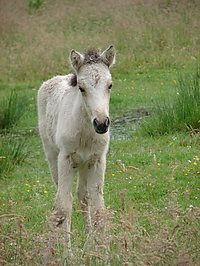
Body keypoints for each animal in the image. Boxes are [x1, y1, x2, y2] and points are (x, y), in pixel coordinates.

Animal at [37, 45, 115, 256]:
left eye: (110, 85)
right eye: (81, 88)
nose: (101, 123)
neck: (86, 133)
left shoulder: (97, 161)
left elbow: (98, 210)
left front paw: (103, 254)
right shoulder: (66, 159)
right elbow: (63, 208)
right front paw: (65, 255)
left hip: (84, 164)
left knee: (83, 197)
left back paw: (89, 244)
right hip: (54, 158)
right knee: (66, 199)